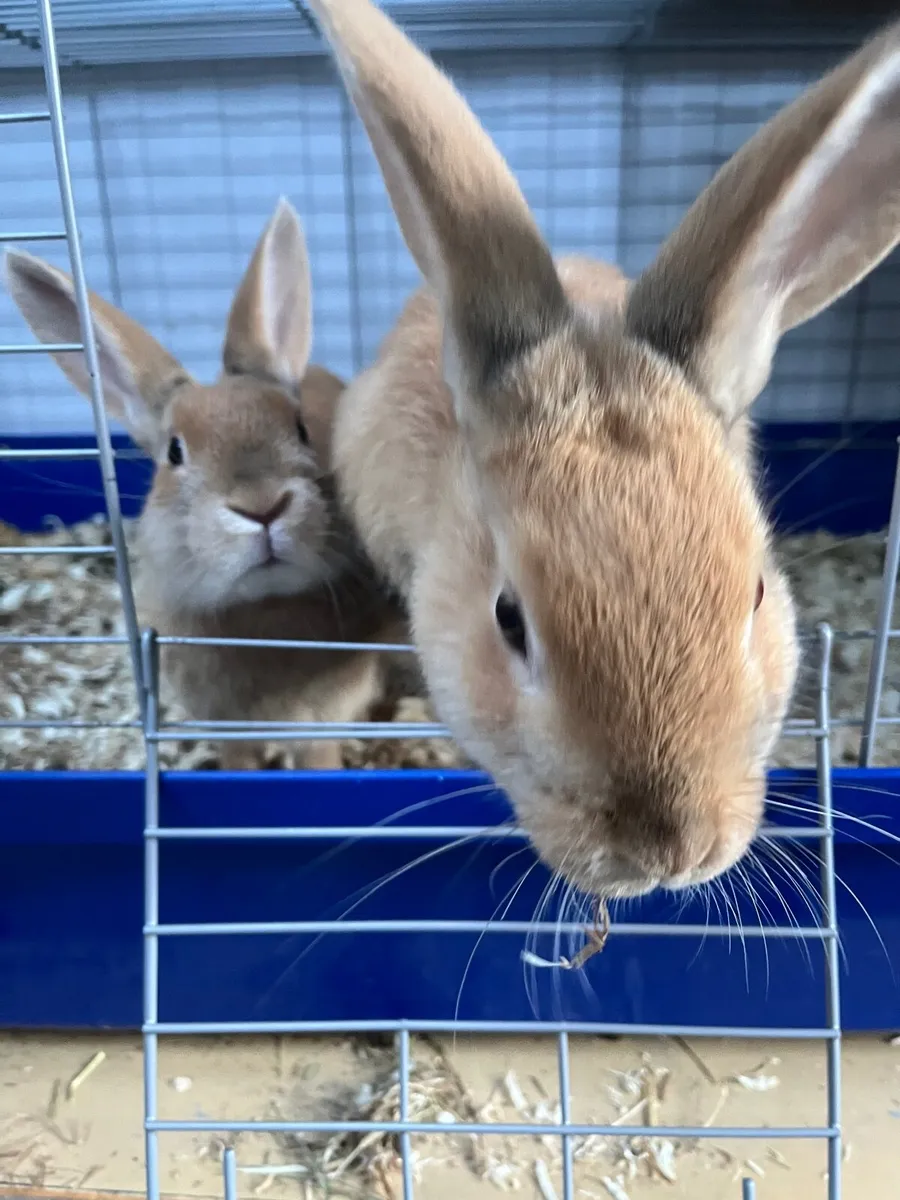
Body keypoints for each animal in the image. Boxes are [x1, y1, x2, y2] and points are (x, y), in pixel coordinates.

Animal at [5, 197, 404, 770]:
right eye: (175, 452)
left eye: (301, 429)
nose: (262, 507)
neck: (264, 613)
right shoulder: (226, 727)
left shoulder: (318, 725)